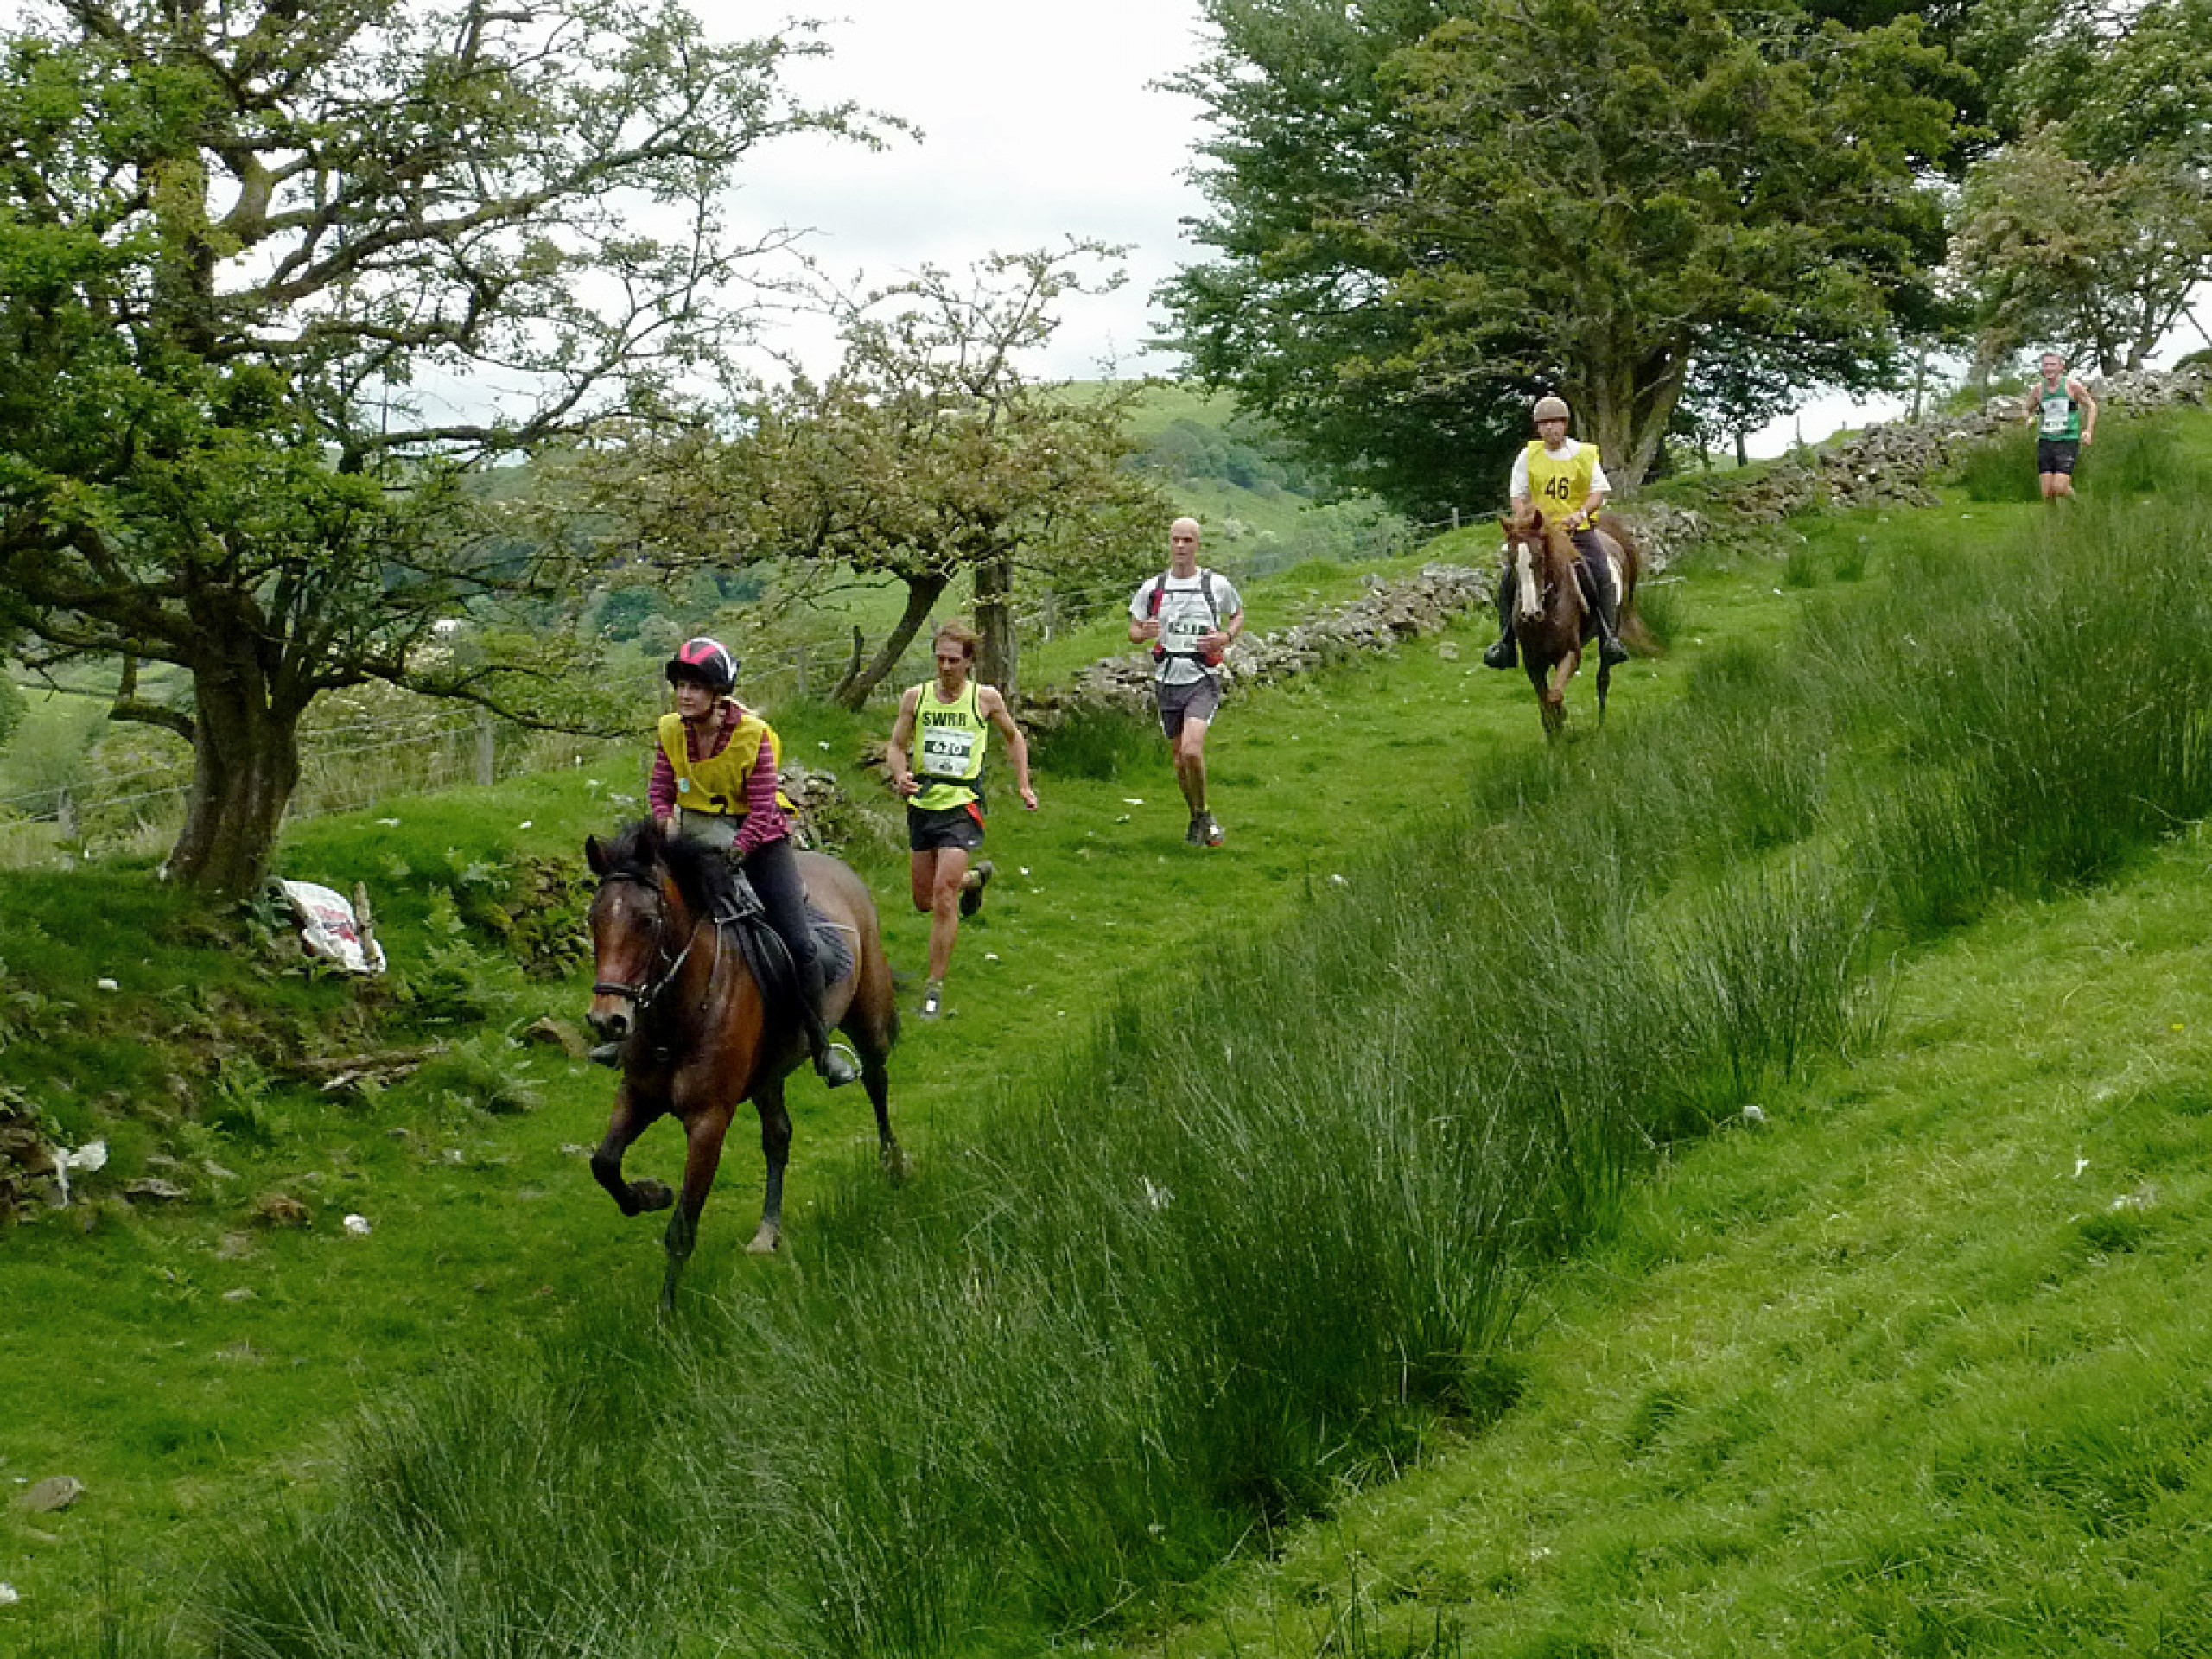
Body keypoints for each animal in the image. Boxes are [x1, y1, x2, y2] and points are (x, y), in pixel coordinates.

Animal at [588, 818, 906, 1309]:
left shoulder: (708, 1121)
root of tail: (840, 869)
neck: (679, 1014)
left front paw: (666, 1312)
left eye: (647, 921)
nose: (608, 1021)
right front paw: (649, 1195)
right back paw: (767, 1231)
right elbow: (604, 1163)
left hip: (867, 1017)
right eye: (593, 919)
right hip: (767, 1074)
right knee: (778, 1136)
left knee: (876, 1082)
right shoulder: (638, 1095)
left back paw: (892, 1163)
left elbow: (682, 1228)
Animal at [1503, 506, 1645, 739]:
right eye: (1511, 561)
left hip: (1609, 632)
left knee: (1603, 679)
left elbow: (1554, 696)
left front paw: (1563, 719)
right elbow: (1545, 705)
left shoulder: (1570, 654)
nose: (1531, 613)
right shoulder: (1533, 663)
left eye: (1540, 558)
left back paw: (1600, 727)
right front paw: (1555, 738)